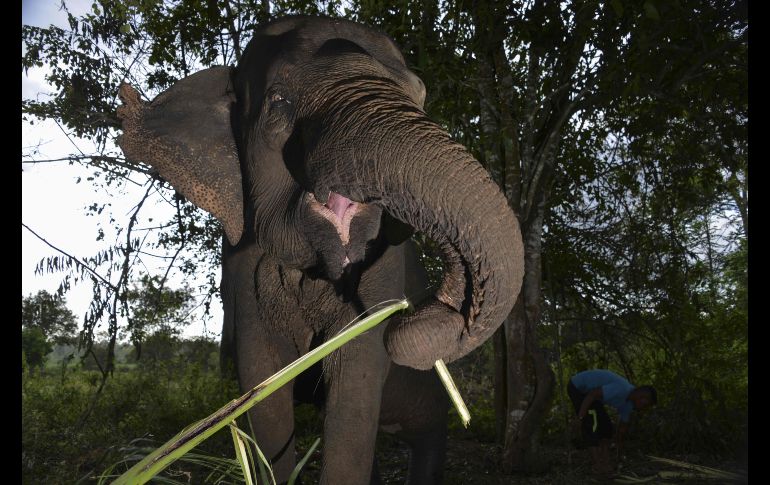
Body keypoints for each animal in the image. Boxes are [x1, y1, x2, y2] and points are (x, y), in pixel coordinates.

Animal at [117, 15, 524, 484]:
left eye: (420, 94)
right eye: (278, 102)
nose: (412, 314)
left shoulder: (381, 269)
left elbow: (355, 379)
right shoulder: (240, 271)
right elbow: (262, 383)